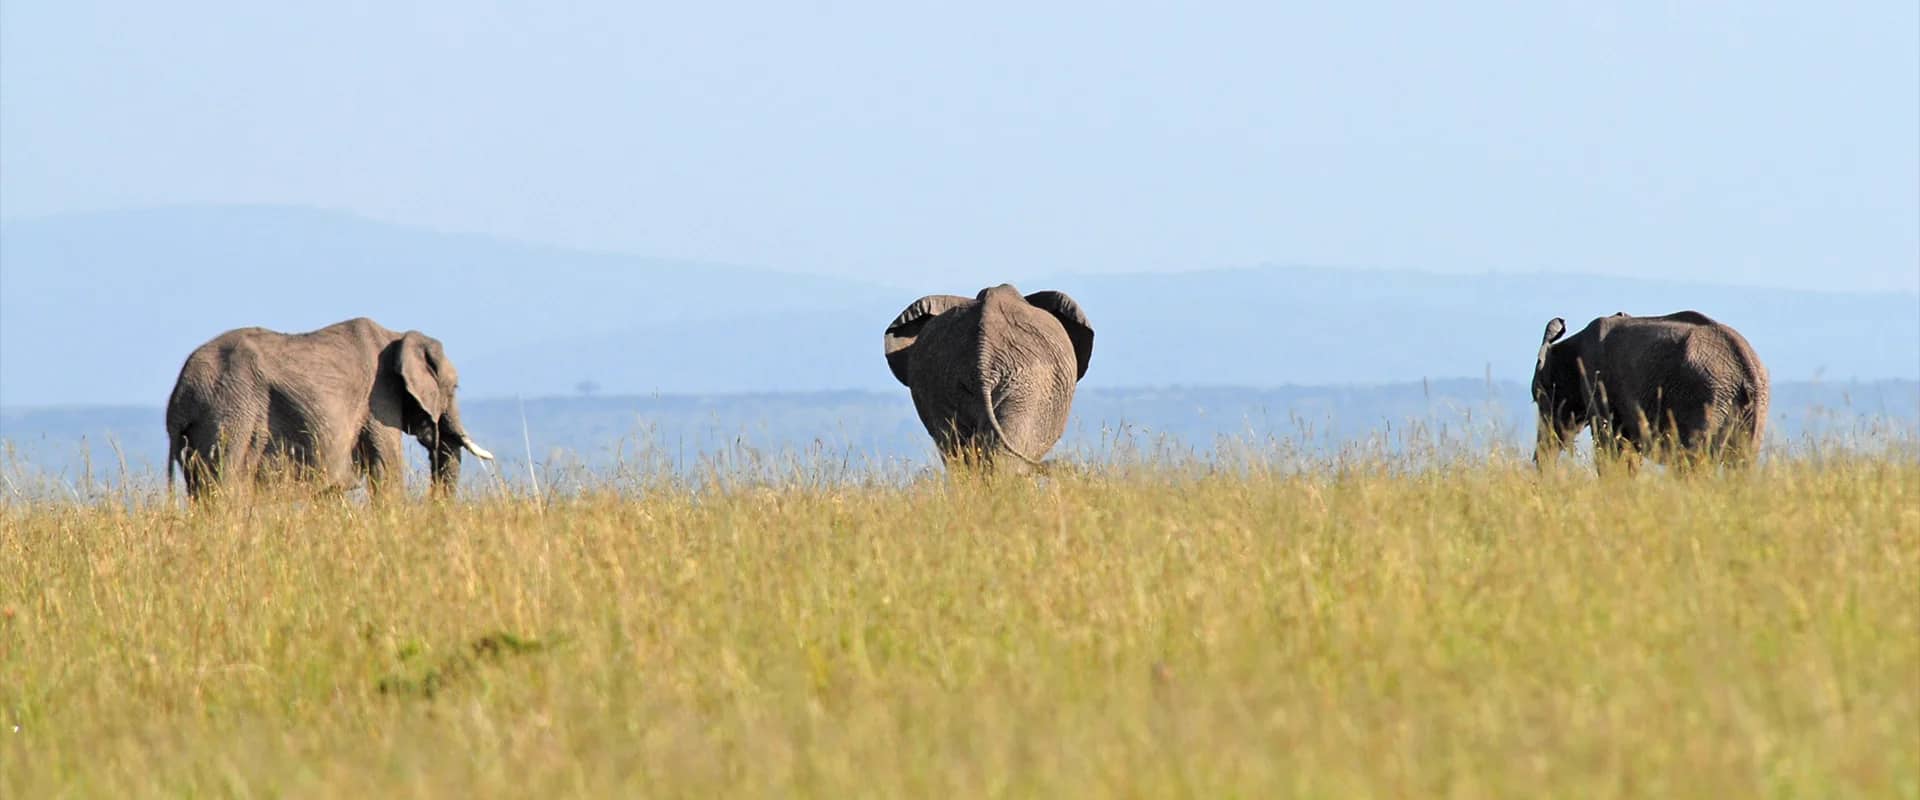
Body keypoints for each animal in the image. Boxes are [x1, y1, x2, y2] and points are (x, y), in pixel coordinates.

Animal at [165, 317, 494, 499]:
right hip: (230, 416)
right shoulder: (379, 398)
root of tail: (181, 396)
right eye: (454, 388)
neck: (397, 336)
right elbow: (386, 467)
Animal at [1533, 311, 1768, 471]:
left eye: (1538, 397)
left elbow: (1610, 444)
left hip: (1706, 400)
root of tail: (1748, 371)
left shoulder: (1596, 378)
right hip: (1750, 409)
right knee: (1741, 465)